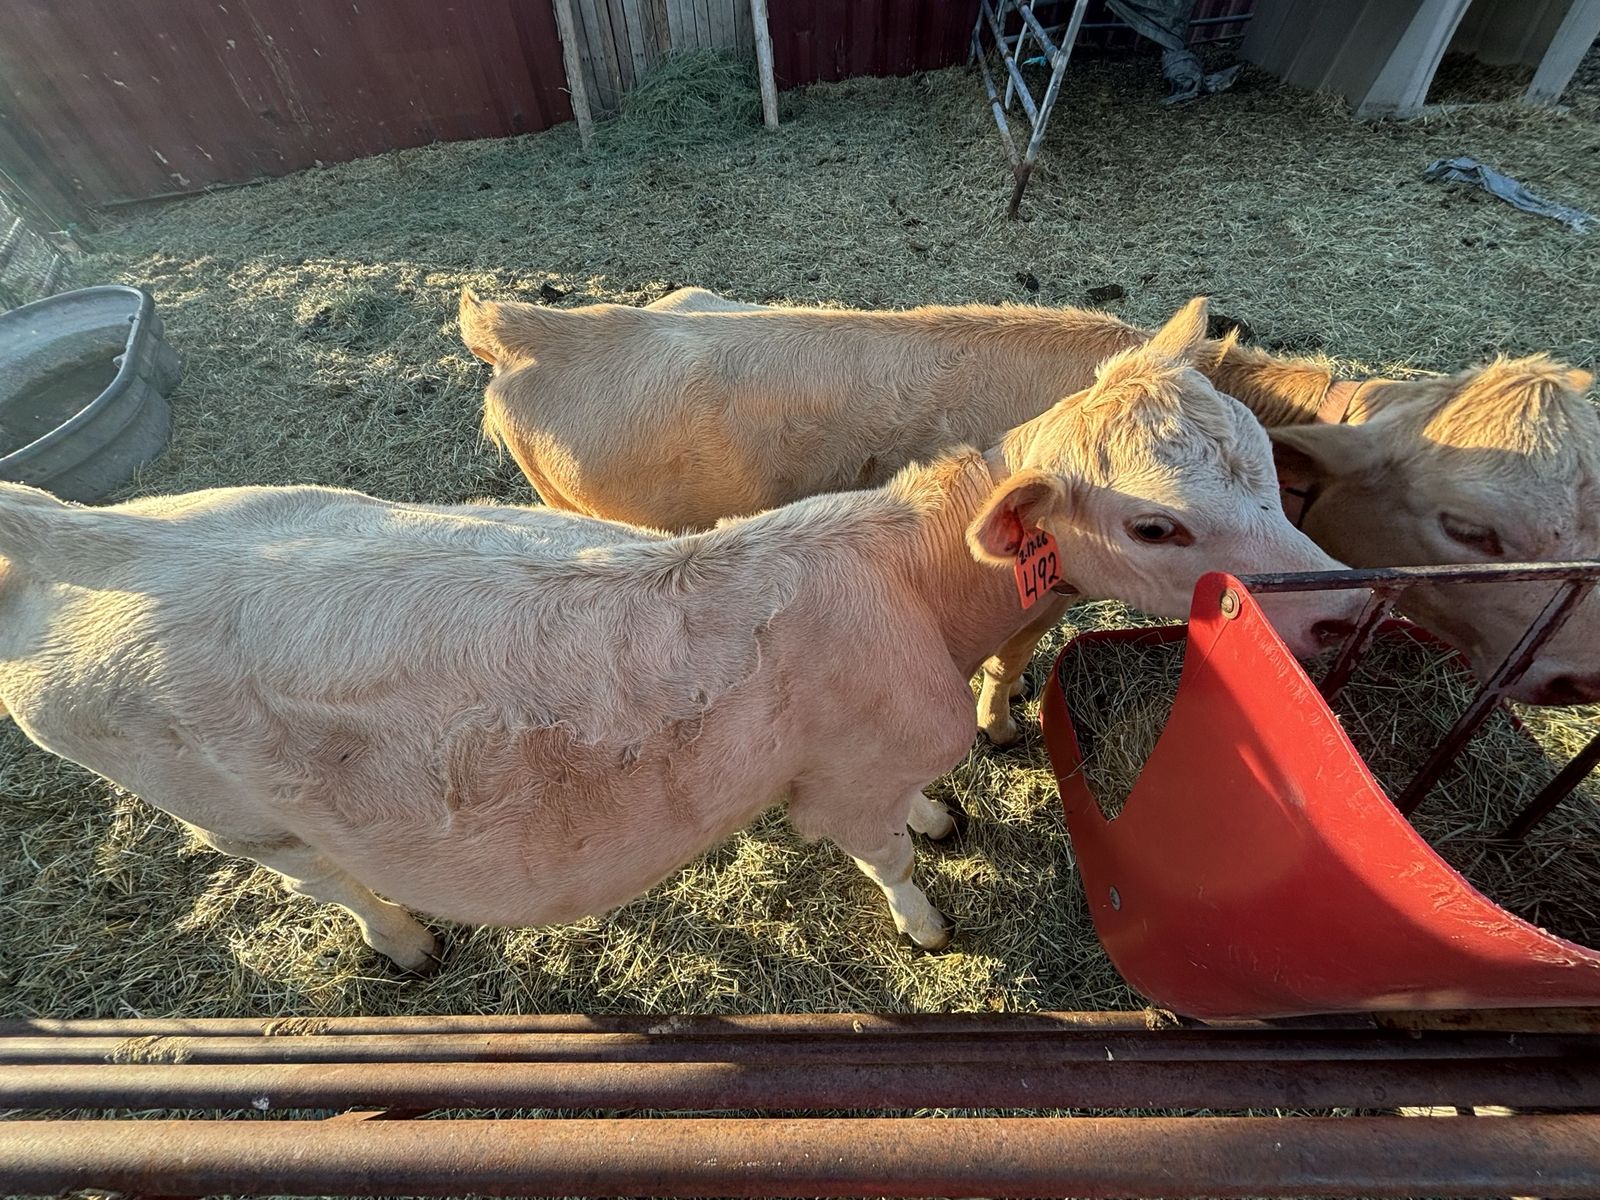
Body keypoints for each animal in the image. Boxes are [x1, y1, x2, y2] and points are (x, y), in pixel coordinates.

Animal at [0, 300, 1364, 963]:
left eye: (1266, 465)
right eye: (1153, 525)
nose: (1348, 603)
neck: (912, 581)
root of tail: (89, 536)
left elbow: (917, 818)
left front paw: (944, 813)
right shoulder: (842, 785)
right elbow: (887, 859)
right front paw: (928, 919)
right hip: (237, 819)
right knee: (322, 880)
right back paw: (404, 941)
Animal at [461, 284, 1600, 739]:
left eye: (1271, 480)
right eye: (1473, 531)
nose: (1576, 675)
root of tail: (528, 324)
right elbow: (1012, 658)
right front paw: (1000, 718)